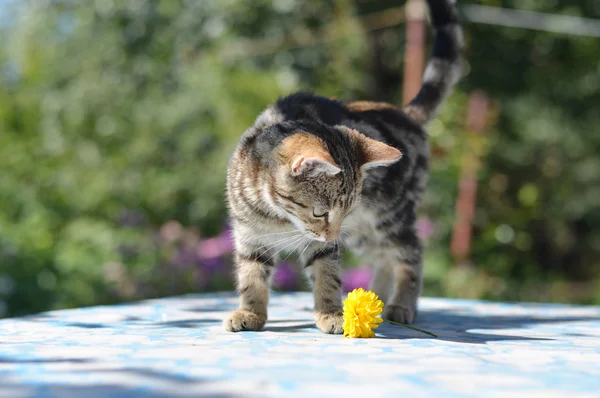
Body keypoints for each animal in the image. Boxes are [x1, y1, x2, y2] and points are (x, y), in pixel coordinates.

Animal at [223, 0, 462, 332]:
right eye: (319, 212)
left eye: (343, 211)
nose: (333, 234)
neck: (276, 216)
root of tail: (404, 114)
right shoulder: (250, 236)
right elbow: (251, 277)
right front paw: (250, 313)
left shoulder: (323, 245)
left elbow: (327, 276)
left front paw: (332, 314)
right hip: (363, 232)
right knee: (384, 258)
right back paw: (379, 299)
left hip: (389, 217)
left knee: (410, 252)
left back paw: (402, 304)